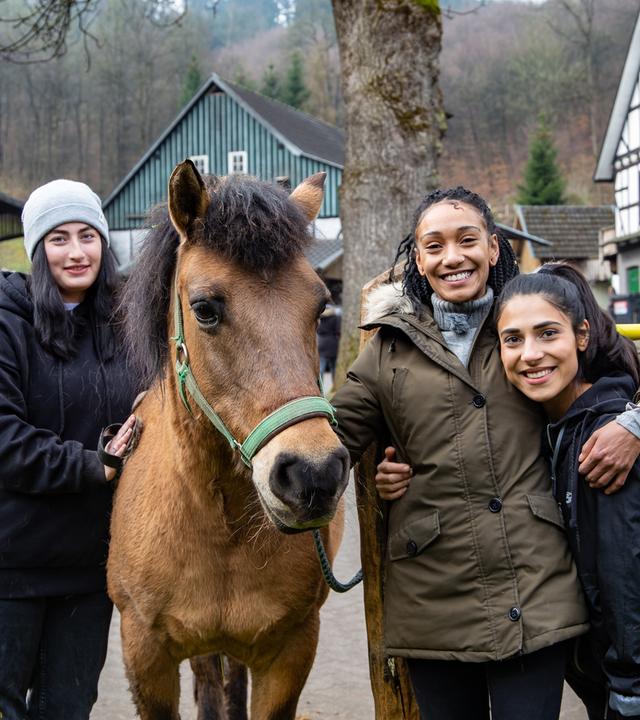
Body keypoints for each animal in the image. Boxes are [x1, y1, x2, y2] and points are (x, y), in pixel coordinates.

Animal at [108, 160, 350, 720]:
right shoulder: (145, 656)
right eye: (205, 309)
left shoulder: (288, 653)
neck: (219, 524)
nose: (314, 473)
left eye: (321, 307)